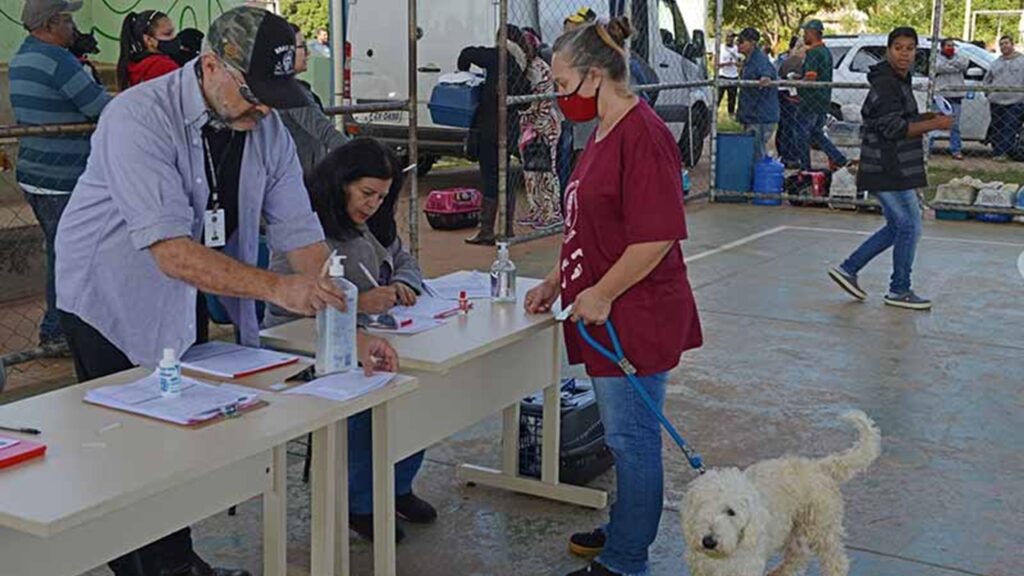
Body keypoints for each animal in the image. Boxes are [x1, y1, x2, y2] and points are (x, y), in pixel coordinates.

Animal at [679, 407, 880, 573]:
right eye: (702, 507)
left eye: (731, 512)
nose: (709, 541)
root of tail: (819, 467)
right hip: (796, 531)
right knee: (798, 557)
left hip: (821, 528)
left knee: (835, 561)